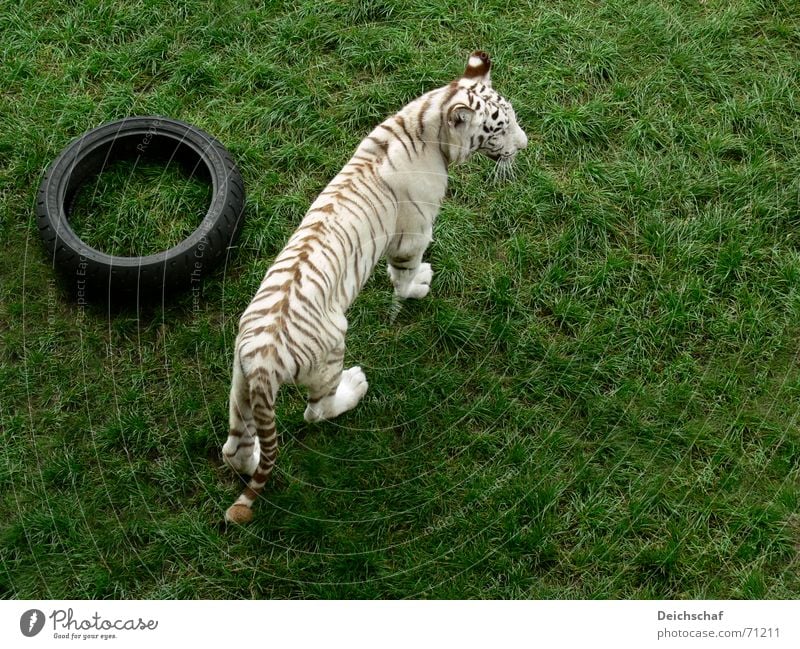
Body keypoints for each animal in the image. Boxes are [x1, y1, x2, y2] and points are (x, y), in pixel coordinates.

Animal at [222, 53, 528, 524]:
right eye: (499, 128)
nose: (525, 145)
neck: (424, 121)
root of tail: (261, 363)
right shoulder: (412, 233)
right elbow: (404, 274)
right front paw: (418, 287)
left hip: (240, 386)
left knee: (234, 445)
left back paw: (250, 459)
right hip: (329, 352)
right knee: (315, 411)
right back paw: (355, 387)